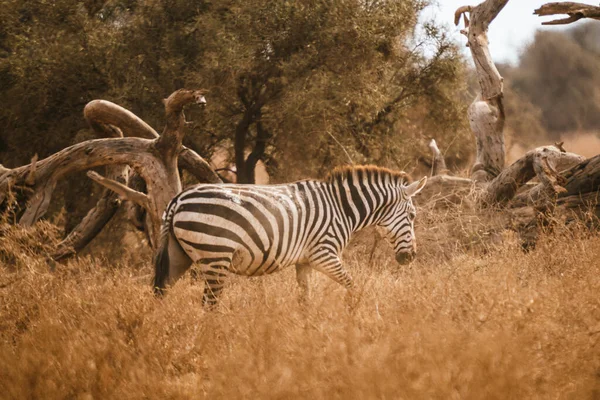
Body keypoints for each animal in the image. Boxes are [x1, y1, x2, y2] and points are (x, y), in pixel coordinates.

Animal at [155, 164, 426, 304]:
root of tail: (179, 198)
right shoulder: (323, 254)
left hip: (179, 254)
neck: (342, 208)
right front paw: (353, 316)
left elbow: (305, 299)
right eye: (412, 215)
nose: (410, 257)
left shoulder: (304, 261)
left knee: (161, 292)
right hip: (215, 256)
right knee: (209, 303)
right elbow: (353, 286)